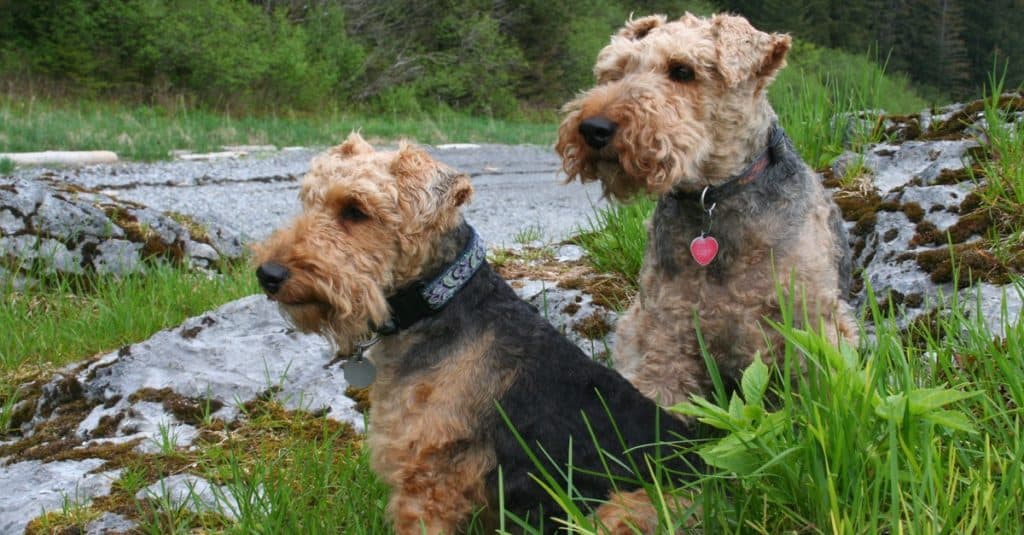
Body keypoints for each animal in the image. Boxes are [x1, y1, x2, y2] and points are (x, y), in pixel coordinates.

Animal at [256, 132, 704, 528]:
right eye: (308, 200)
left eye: (355, 210)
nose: (268, 273)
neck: (440, 302)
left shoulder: (428, 482)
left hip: (622, 510)